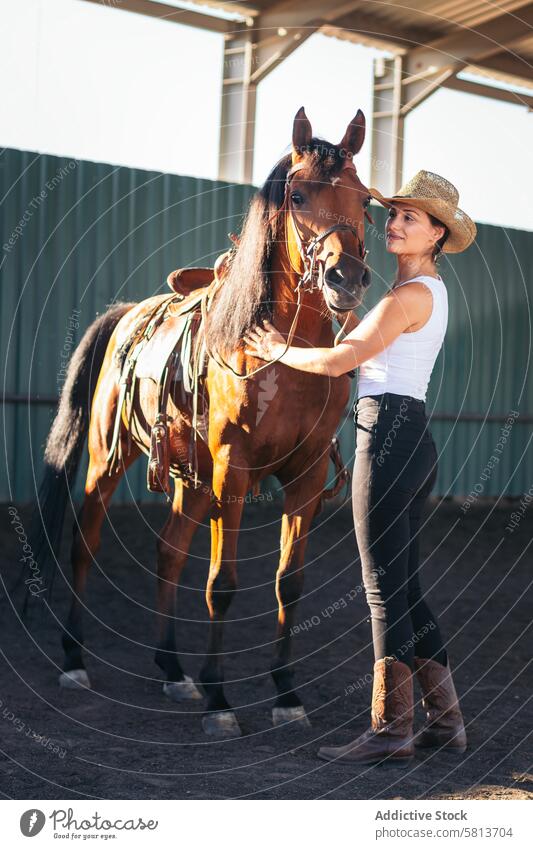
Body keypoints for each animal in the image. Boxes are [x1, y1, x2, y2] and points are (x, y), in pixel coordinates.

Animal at [30, 107, 370, 736]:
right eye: (300, 195)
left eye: (364, 200)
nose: (346, 278)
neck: (284, 354)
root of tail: (126, 314)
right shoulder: (232, 471)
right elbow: (222, 584)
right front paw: (219, 699)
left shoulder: (306, 476)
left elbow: (289, 583)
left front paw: (286, 693)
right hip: (107, 458)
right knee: (85, 545)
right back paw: (74, 658)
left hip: (189, 477)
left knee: (169, 550)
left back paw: (171, 669)